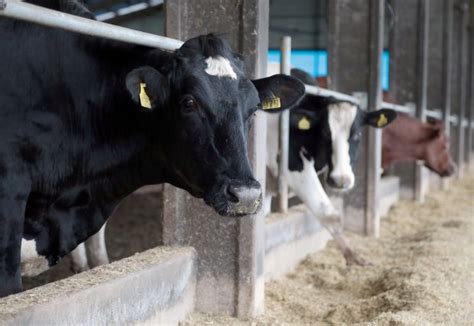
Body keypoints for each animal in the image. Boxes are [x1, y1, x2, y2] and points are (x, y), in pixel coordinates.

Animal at [266, 68, 396, 264]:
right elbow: (330, 214)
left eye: (357, 134)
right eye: (325, 133)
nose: (341, 181)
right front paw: (351, 255)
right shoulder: (292, 165)